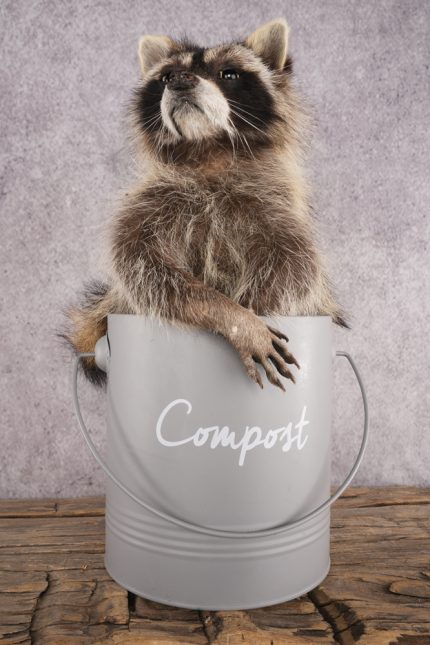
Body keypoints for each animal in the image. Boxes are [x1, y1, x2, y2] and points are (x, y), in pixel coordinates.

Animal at [59, 18, 347, 392]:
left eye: (228, 73)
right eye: (166, 76)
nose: (180, 81)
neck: (207, 149)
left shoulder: (279, 208)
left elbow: (293, 271)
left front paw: (251, 309)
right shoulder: (147, 204)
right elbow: (149, 271)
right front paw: (232, 315)